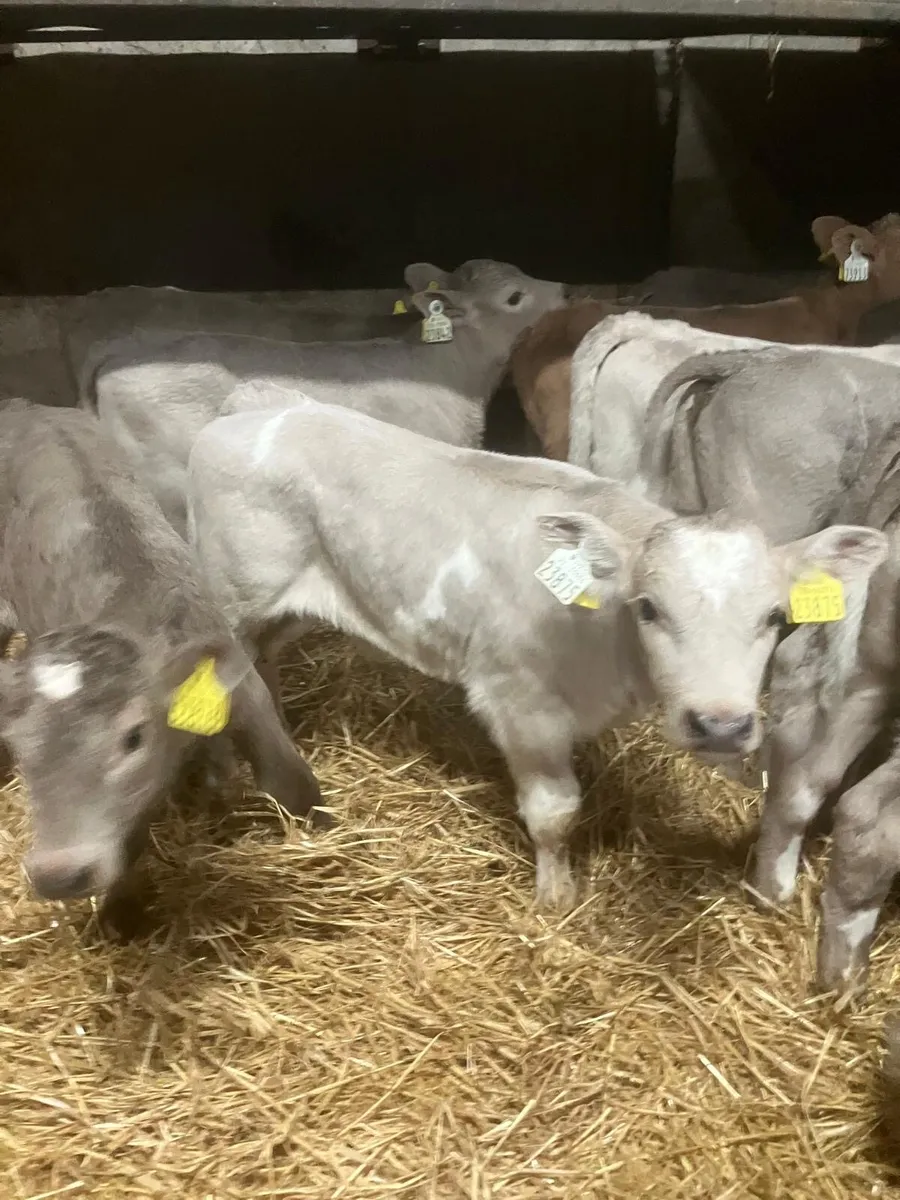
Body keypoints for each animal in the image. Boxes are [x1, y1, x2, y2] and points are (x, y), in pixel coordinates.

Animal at [0, 400, 325, 937]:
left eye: (133, 737)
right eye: (19, 745)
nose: (59, 874)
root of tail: (25, 406)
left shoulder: (243, 689)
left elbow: (293, 783)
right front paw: (119, 915)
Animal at [183, 400, 885, 912]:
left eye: (775, 617)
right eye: (649, 608)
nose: (721, 724)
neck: (606, 654)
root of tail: (240, 419)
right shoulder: (518, 703)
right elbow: (554, 812)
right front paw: (556, 898)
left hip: (285, 610)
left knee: (263, 669)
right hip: (231, 598)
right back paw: (228, 777)